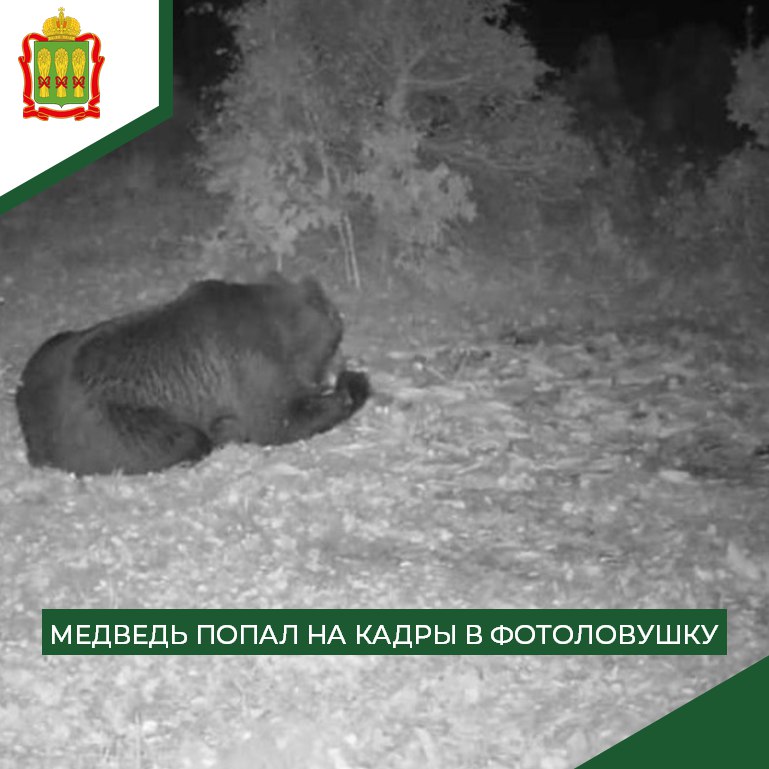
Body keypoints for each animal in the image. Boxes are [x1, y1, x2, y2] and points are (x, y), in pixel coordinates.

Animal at [15, 273, 370, 476]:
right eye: (335, 339)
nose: (339, 363)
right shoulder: (252, 364)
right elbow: (277, 421)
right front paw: (352, 384)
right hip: (108, 424)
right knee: (182, 439)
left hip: (51, 348)